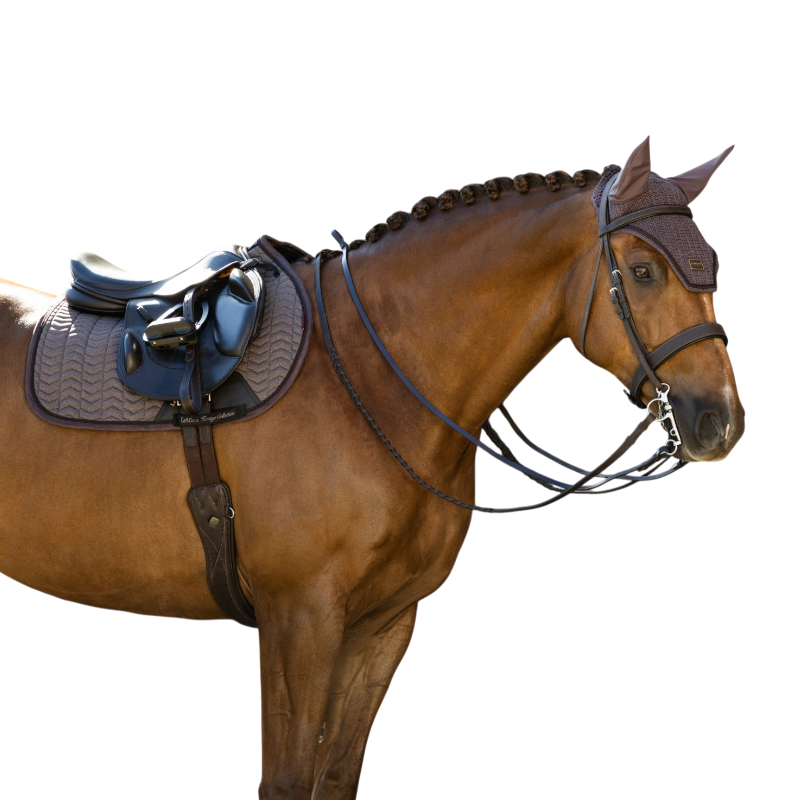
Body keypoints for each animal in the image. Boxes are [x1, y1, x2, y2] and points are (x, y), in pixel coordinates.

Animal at [0, 137, 744, 798]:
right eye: (643, 271)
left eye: (710, 266)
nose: (720, 420)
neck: (368, 373)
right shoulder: (299, 619)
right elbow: (287, 780)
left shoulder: (383, 626)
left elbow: (333, 778)